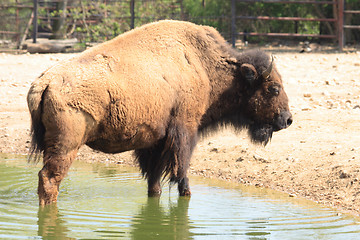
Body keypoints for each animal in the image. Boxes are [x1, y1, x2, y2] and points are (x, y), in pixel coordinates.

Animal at [27, 19, 292, 205]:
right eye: (273, 88)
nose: (287, 119)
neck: (205, 67)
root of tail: (45, 82)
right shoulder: (185, 131)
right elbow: (181, 171)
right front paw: (186, 194)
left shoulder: (154, 142)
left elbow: (154, 180)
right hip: (67, 146)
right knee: (49, 179)